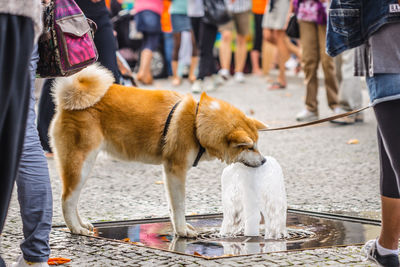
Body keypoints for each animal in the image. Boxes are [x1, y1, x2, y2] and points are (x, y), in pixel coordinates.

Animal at [50, 63, 268, 238]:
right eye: (249, 147)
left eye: (257, 145)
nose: (264, 160)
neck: (196, 123)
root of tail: (67, 100)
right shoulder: (175, 170)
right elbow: (179, 206)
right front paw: (182, 231)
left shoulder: (169, 172)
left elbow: (172, 207)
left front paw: (179, 228)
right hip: (81, 163)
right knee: (67, 199)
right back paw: (75, 228)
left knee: (73, 199)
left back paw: (81, 224)